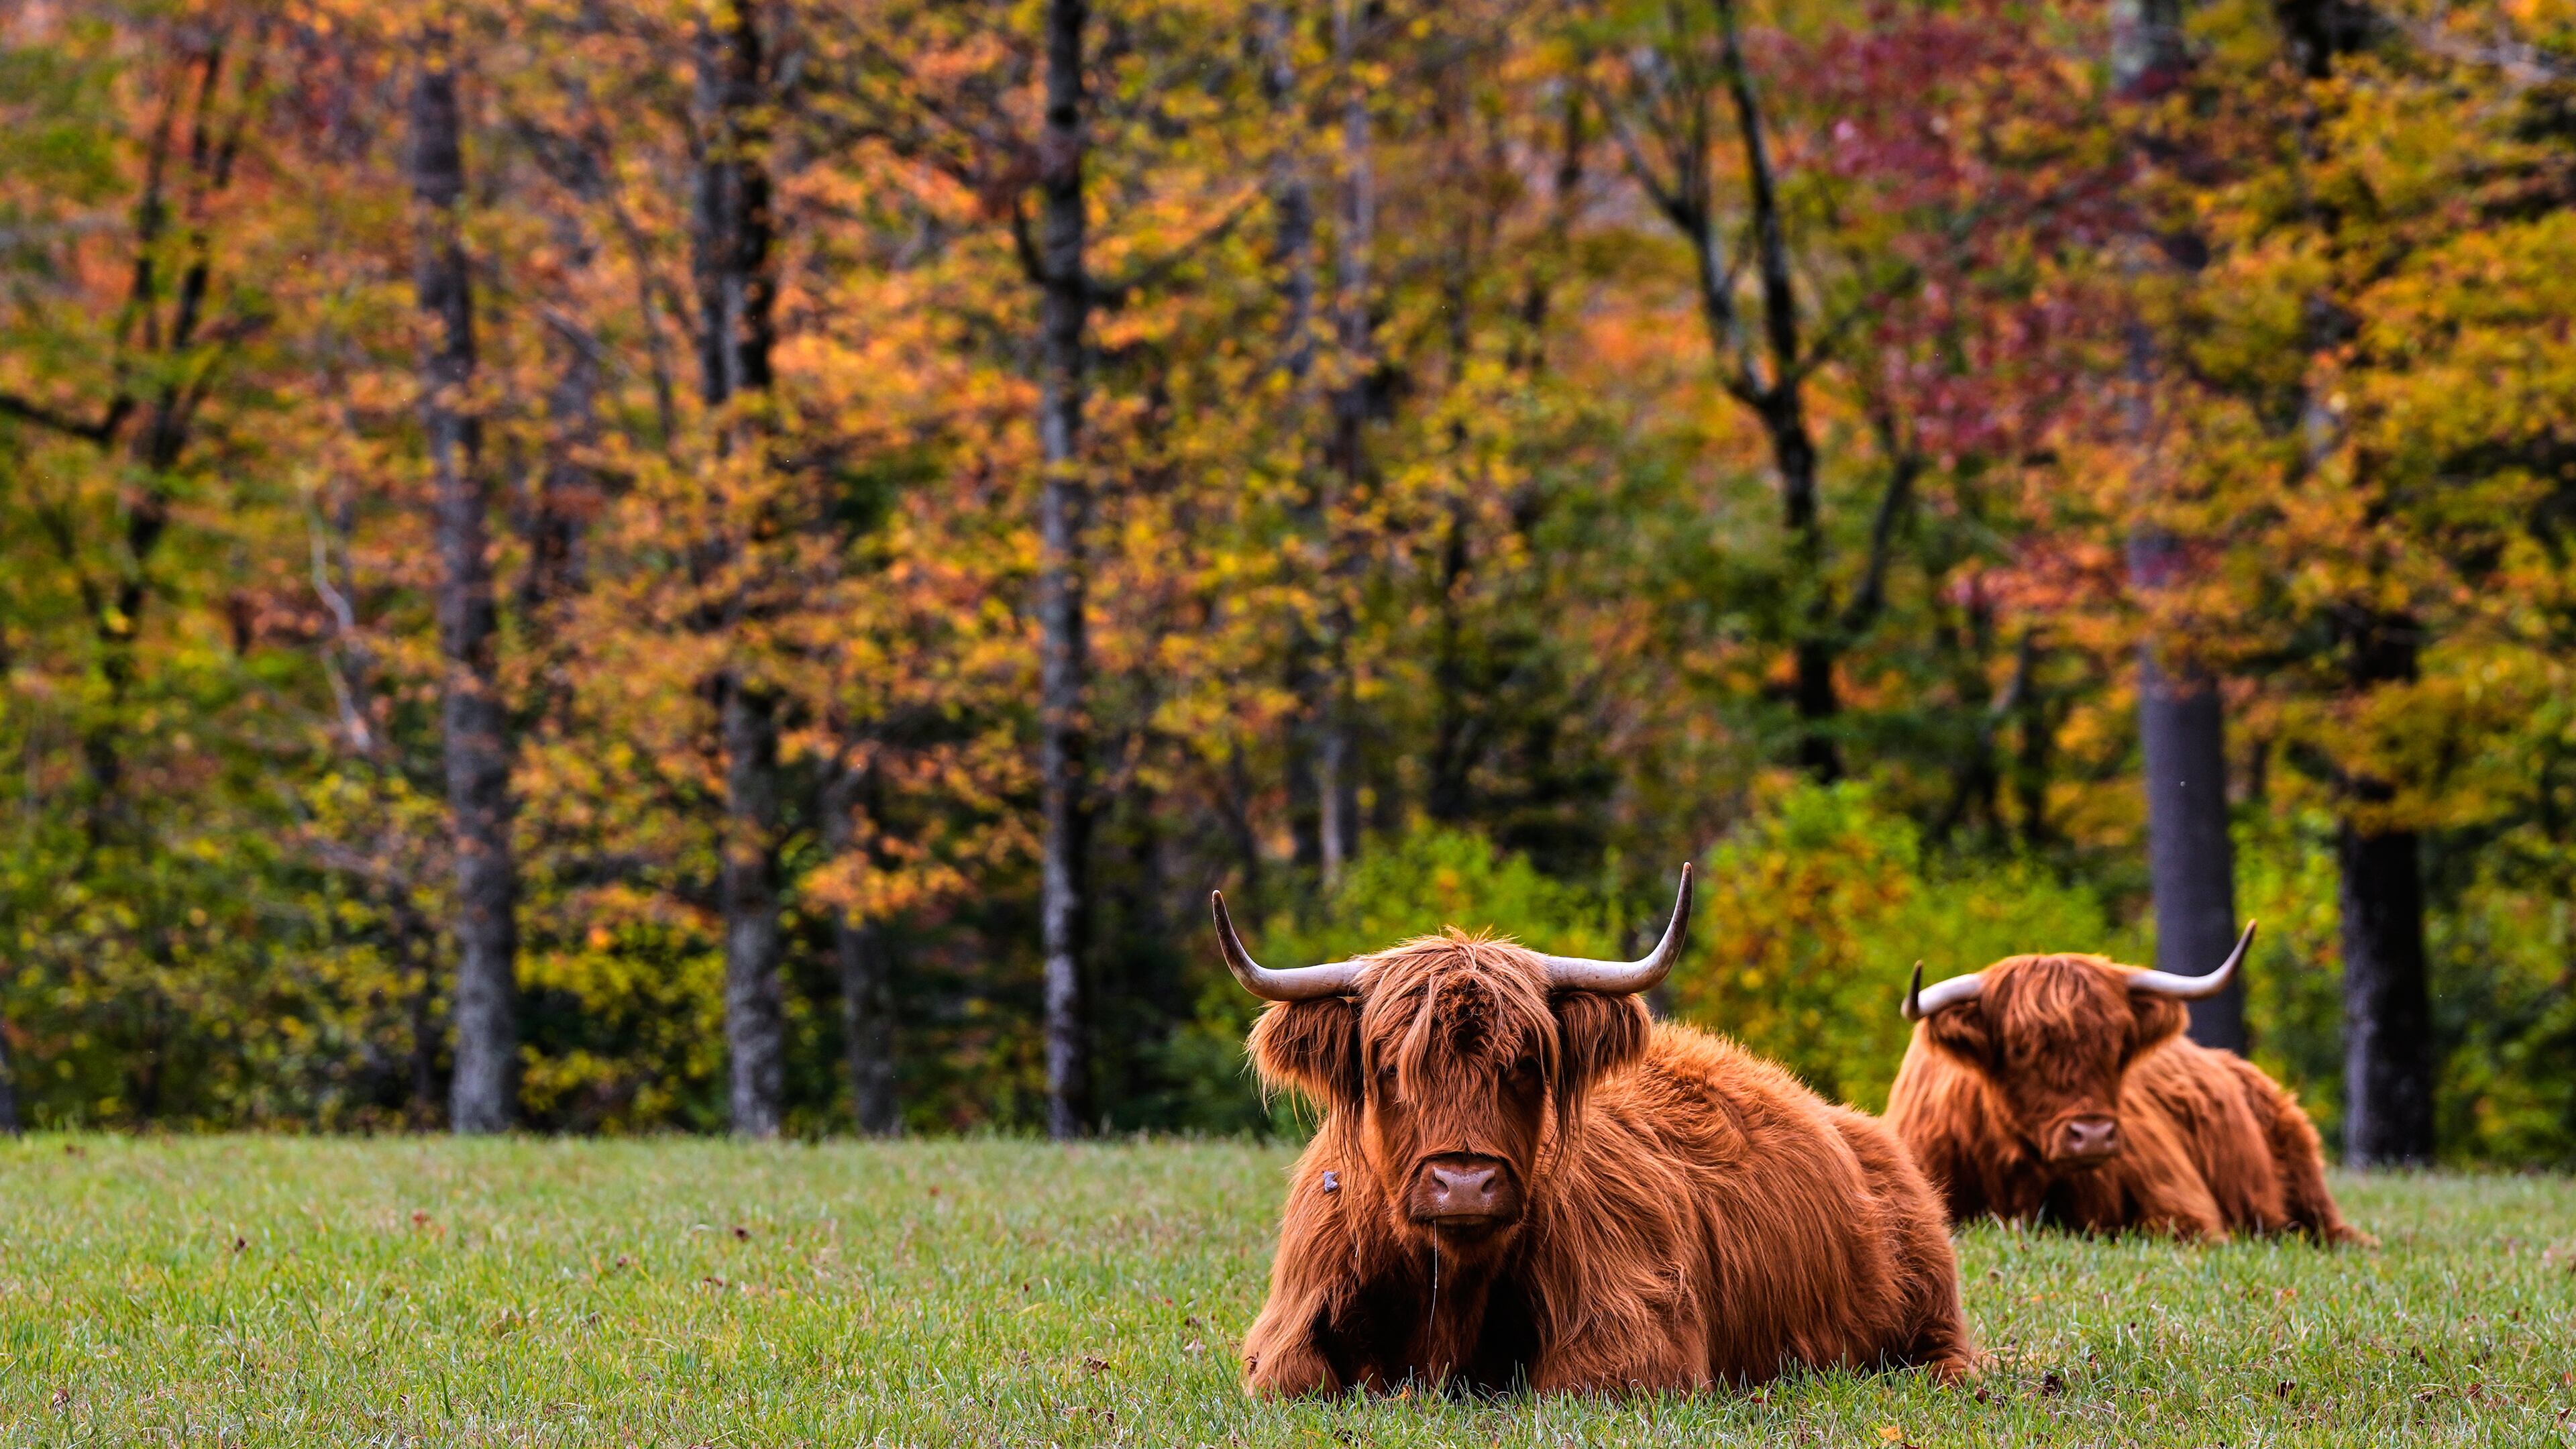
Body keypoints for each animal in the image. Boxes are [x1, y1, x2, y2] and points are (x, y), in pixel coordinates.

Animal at [1214, 866, 1977, 1396]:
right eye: (1389, 1066)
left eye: (1526, 1064)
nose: (1464, 1182)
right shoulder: (1284, 1333)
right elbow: (1296, 1379)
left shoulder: (1638, 1338)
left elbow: (1566, 1385)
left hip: (1929, 1302)